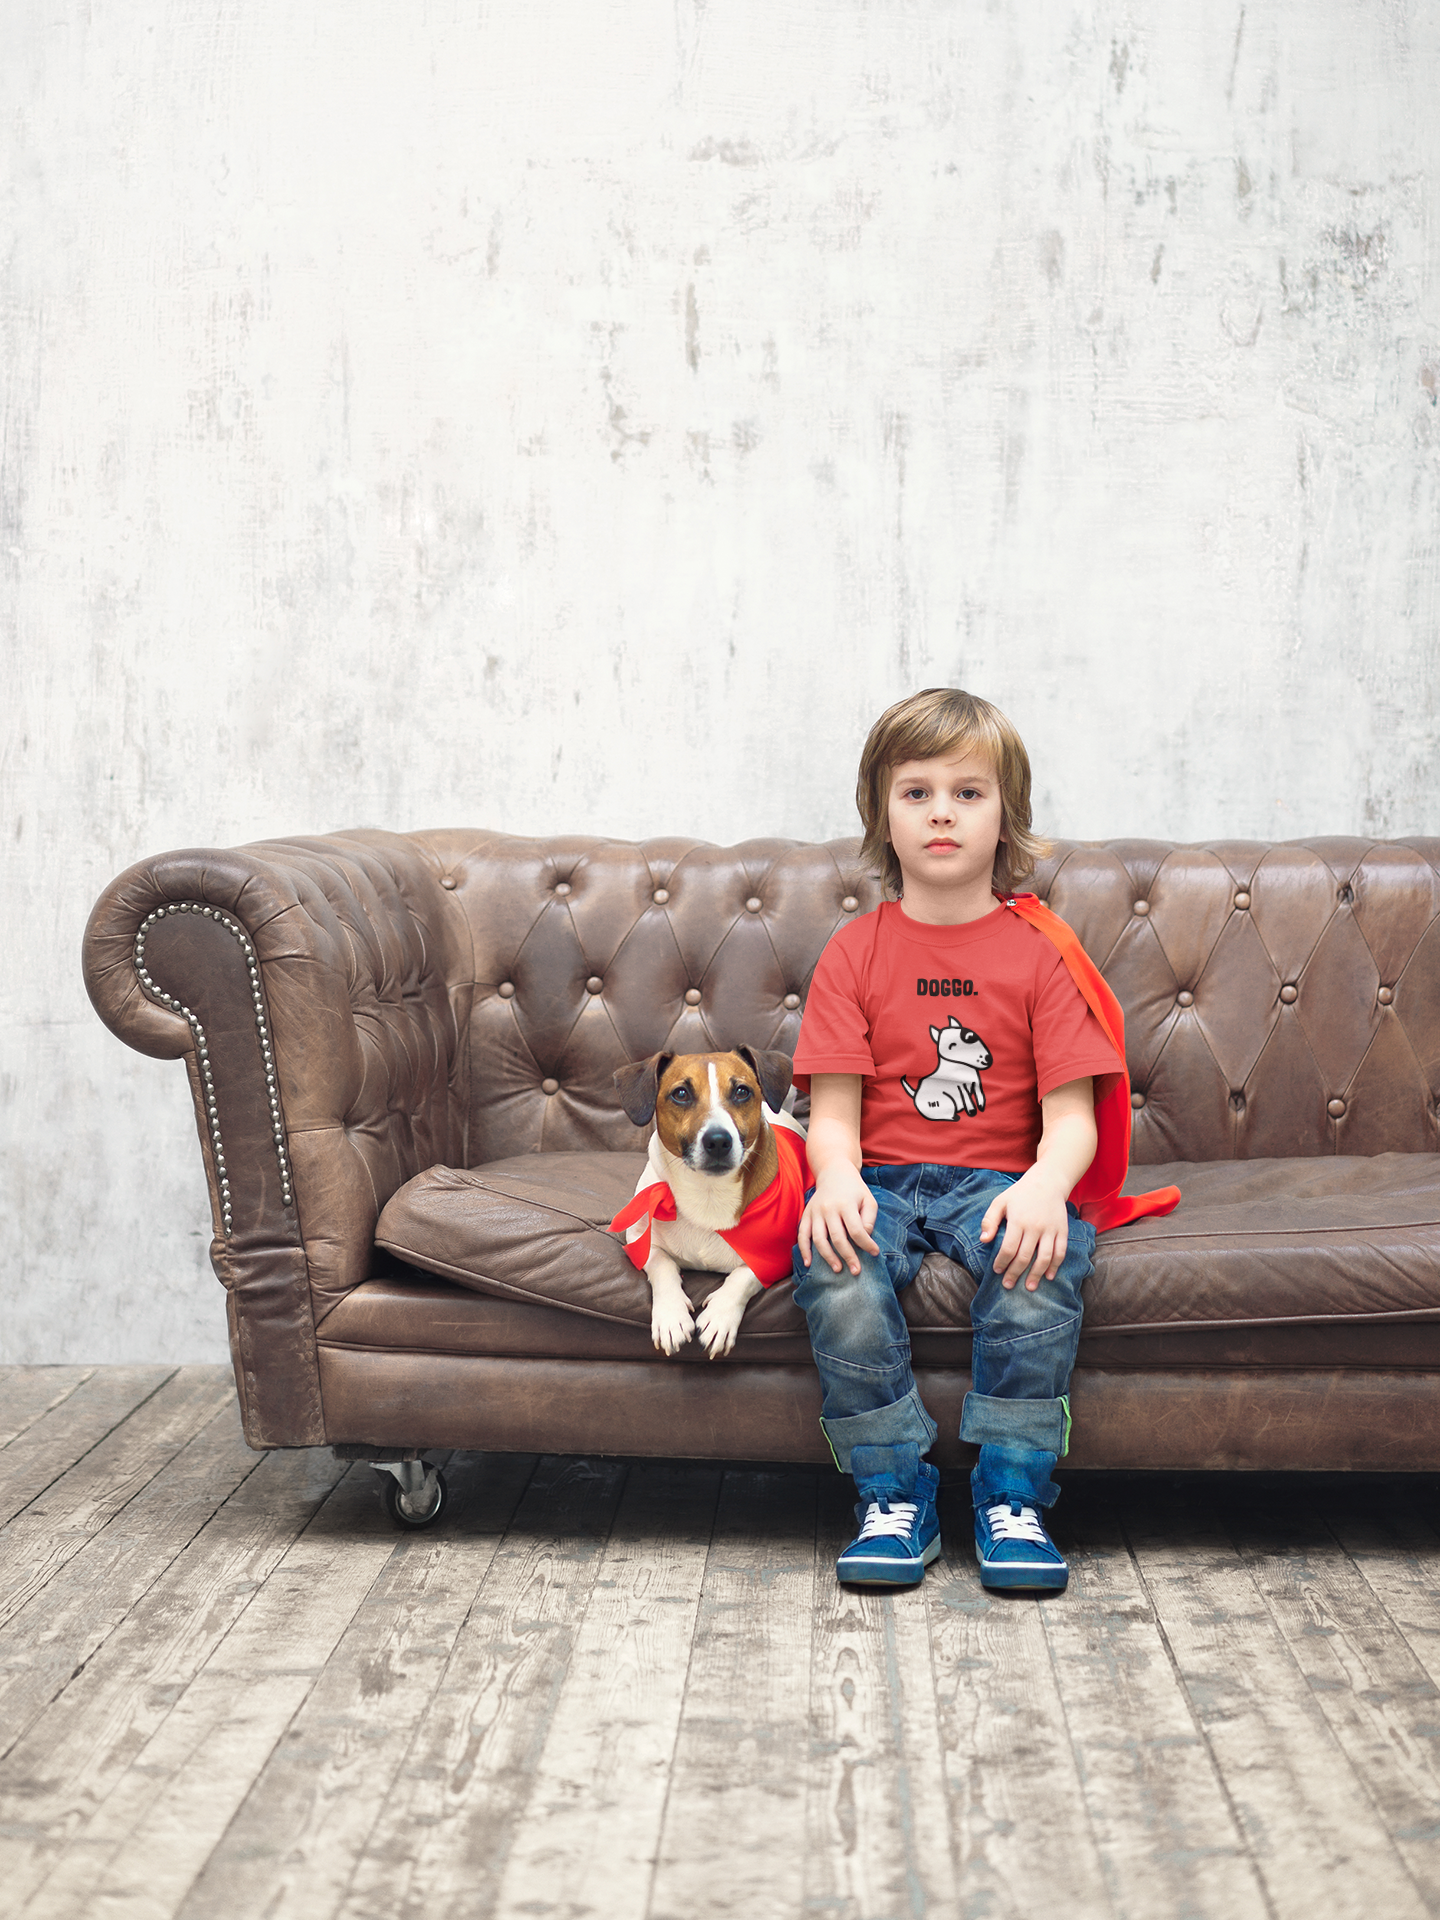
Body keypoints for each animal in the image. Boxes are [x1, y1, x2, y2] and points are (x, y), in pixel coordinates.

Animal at [610, 1059, 814, 1359]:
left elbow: (744, 1276)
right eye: (680, 1094)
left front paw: (720, 1316)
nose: (718, 1140)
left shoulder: (777, 1257)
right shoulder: (640, 1240)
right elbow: (661, 1264)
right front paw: (671, 1316)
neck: (707, 1194)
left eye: (742, 1091)